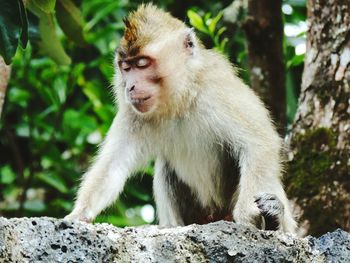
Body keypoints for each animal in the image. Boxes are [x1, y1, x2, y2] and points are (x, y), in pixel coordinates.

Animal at [65, 4, 296, 234]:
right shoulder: (133, 114)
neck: (180, 100)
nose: (129, 86)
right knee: (165, 169)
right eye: (126, 67)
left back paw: (275, 219)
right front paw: (79, 215)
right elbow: (113, 164)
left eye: (142, 64)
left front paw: (248, 215)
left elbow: (259, 143)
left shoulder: (218, 88)